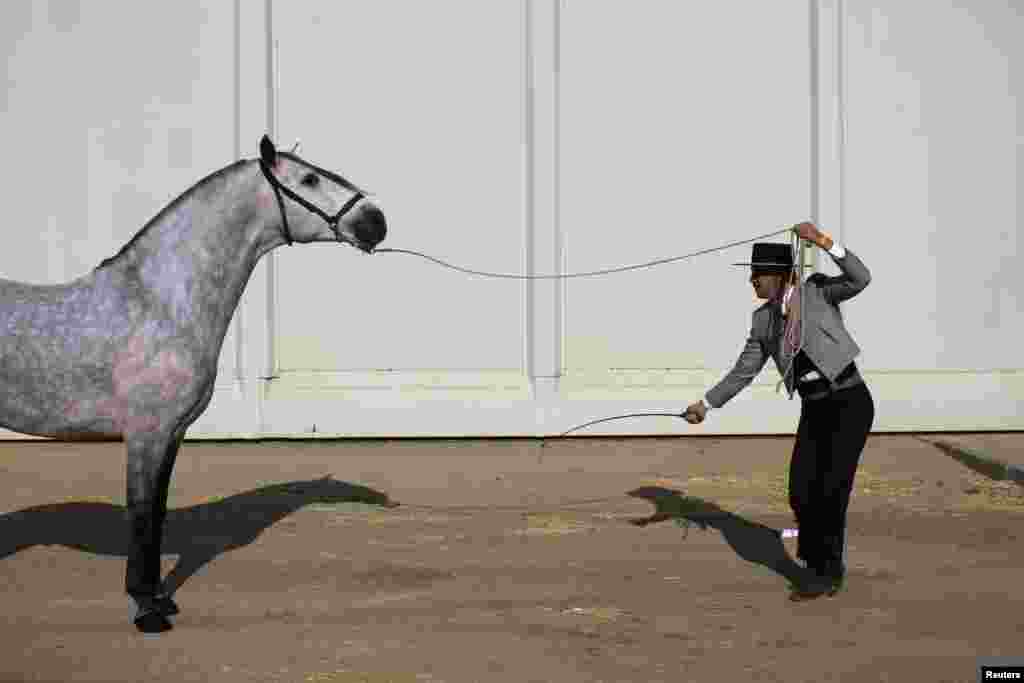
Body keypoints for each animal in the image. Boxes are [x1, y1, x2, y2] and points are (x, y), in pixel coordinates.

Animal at [1, 136, 385, 634]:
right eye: (309, 178)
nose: (376, 221)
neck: (163, 304)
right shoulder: (146, 435)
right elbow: (143, 516)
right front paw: (146, 610)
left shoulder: (172, 434)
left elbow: (159, 513)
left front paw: (160, 600)